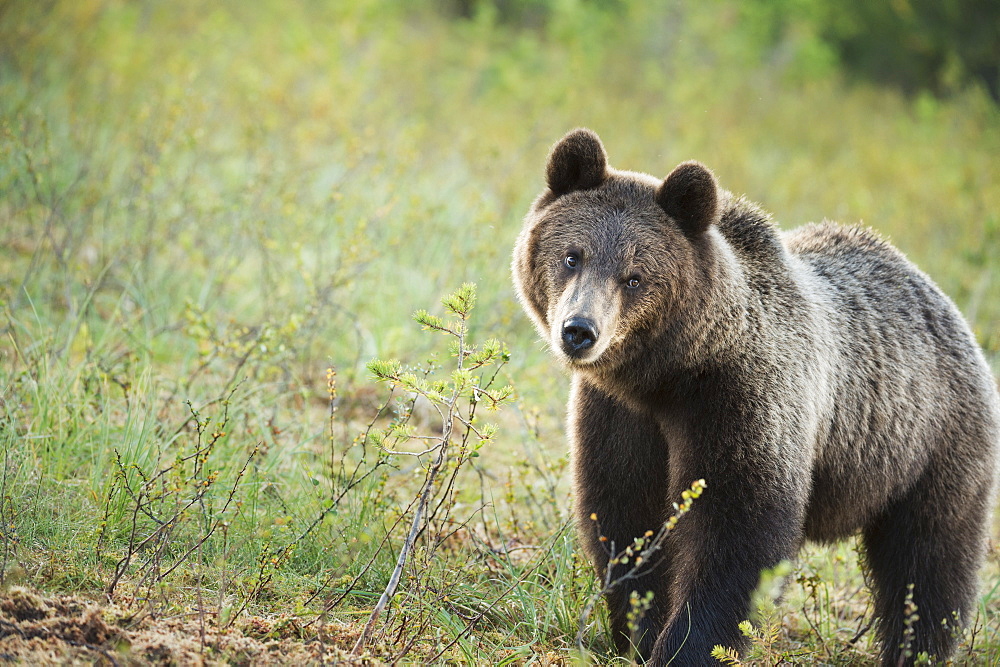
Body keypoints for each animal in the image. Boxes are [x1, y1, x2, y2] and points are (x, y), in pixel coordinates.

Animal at [516, 128, 1000, 664]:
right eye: (572, 255)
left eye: (634, 277)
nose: (579, 331)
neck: (669, 377)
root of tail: (941, 299)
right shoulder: (620, 416)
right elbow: (626, 517)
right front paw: (638, 630)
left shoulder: (743, 400)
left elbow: (738, 534)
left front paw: (687, 644)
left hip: (930, 443)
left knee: (929, 557)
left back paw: (916, 646)